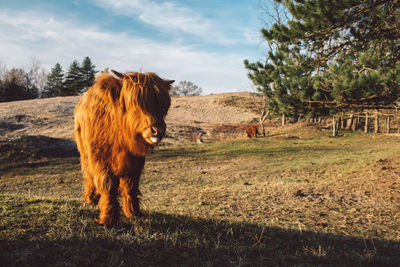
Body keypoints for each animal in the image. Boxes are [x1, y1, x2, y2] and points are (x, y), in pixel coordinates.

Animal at [74, 70, 173, 227]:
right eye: (136, 103)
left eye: (163, 106)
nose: (158, 130)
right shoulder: (100, 160)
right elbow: (107, 186)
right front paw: (108, 219)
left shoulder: (135, 163)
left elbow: (130, 187)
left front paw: (134, 213)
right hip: (85, 154)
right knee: (88, 174)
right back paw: (90, 198)